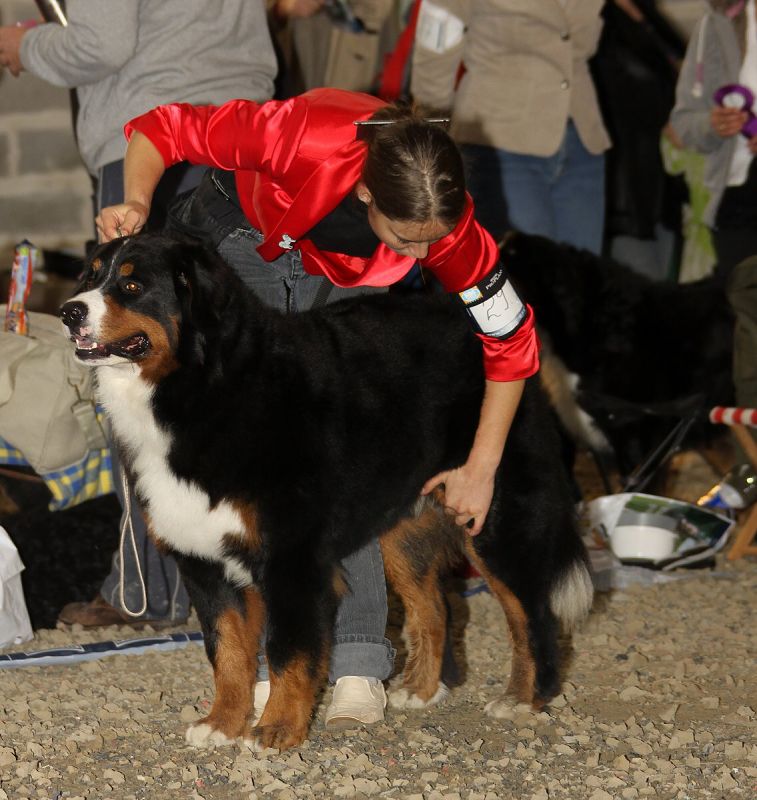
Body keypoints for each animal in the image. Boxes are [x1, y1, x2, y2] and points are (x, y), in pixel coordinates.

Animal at [60, 231, 592, 752]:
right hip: (403, 526)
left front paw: (276, 730)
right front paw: (222, 724)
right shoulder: (203, 559)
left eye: (132, 286)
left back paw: (525, 698)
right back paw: (420, 690)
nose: (70, 311)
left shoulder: (290, 557)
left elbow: (286, 651)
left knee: (530, 614)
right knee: (435, 607)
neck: (201, 390)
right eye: (91, 276)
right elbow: (227, 651)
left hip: (490, 515)